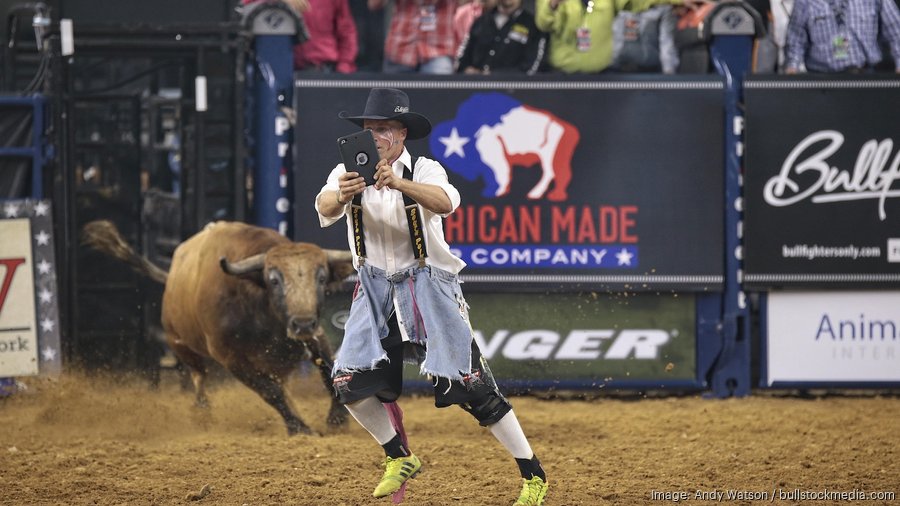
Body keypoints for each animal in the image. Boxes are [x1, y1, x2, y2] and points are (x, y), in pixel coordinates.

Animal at [81, 220, 356, 434]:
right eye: (273, 280)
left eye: (321, 277)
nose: (302, 323)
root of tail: (171, 279)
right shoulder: (229, 357)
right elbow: (270, 391)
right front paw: (299, 427)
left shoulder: (316, 336)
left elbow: (329, 370)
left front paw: (337, 418)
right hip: (181, 346)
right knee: (199, 377)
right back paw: (203, 411)